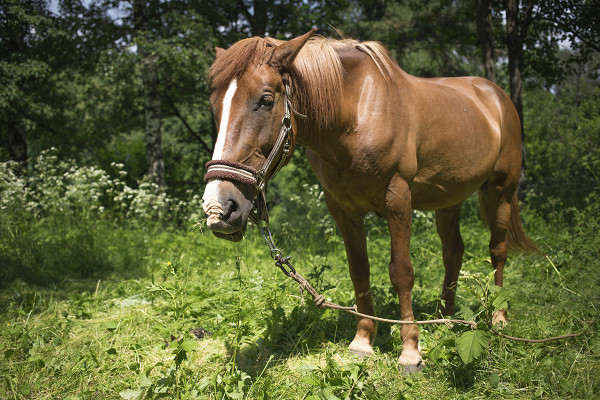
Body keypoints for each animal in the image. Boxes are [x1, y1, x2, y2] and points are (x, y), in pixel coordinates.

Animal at [202, 29, 540, 374]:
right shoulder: (343, 210)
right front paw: (363, 342)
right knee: (453, 252)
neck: (355, 115)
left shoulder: (398, 200)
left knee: (497, 251)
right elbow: (359, 269)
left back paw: (498, 319)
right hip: (449, 199)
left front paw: (410, 351)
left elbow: (402, 272)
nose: (220, 208)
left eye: (266, 100)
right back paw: (444, 320)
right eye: (215, 107)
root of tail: (496, 96)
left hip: (501, 191)